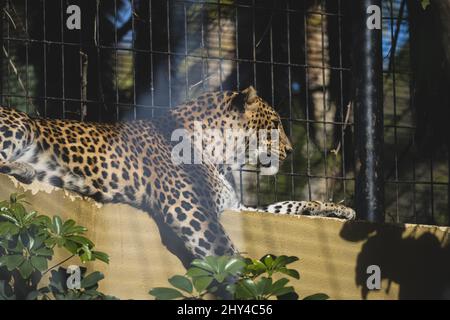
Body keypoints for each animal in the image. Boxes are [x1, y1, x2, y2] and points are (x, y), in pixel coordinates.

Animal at [0, 86, 356, 266]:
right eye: (275, 124)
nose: (291, 150)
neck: (220, 153)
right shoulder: (189, 207)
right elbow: (225, 252)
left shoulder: (232, 206)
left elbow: (284, 207)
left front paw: (335, 209)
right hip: (22, 123)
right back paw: (25, 168)